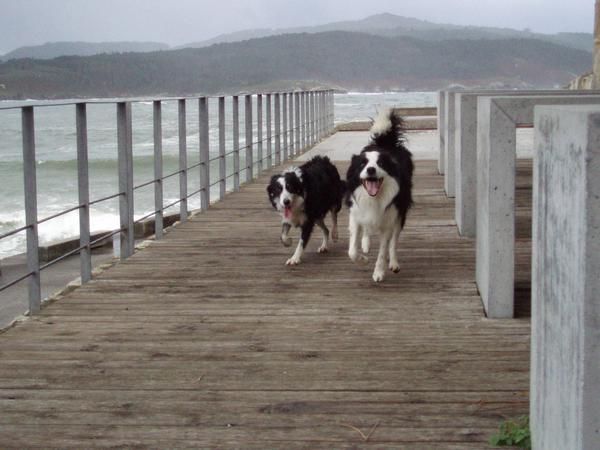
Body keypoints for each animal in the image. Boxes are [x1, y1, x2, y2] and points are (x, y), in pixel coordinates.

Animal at [344, 108, 414, 282]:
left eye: (381, 164)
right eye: (362, 164)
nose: (371, 170)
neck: (374, 198)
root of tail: (386, 143)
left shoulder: (390, 219)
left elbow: (383, 250)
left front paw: (378, 272)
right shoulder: (356, 213)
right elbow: (352, 251)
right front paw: (363, 259)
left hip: (400, 213)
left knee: (393, 242)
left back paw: (394, 262)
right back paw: (365, 244)